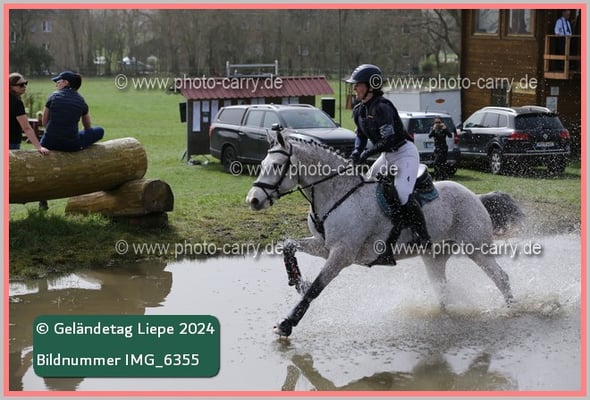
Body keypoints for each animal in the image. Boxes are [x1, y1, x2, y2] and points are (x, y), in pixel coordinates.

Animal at [246, 131, 521, 337]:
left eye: (277, 166)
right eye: (262, 165)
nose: (253, 200)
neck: (336, 194)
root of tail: (476, 197)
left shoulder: (342, 254)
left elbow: (316, 288)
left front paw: (287, 324)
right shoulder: (324, 246)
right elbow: (288, 245)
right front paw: (297, 280)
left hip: (477, 249)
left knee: (502, 278)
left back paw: (511, 311)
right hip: (435, 256)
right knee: (442, 288)